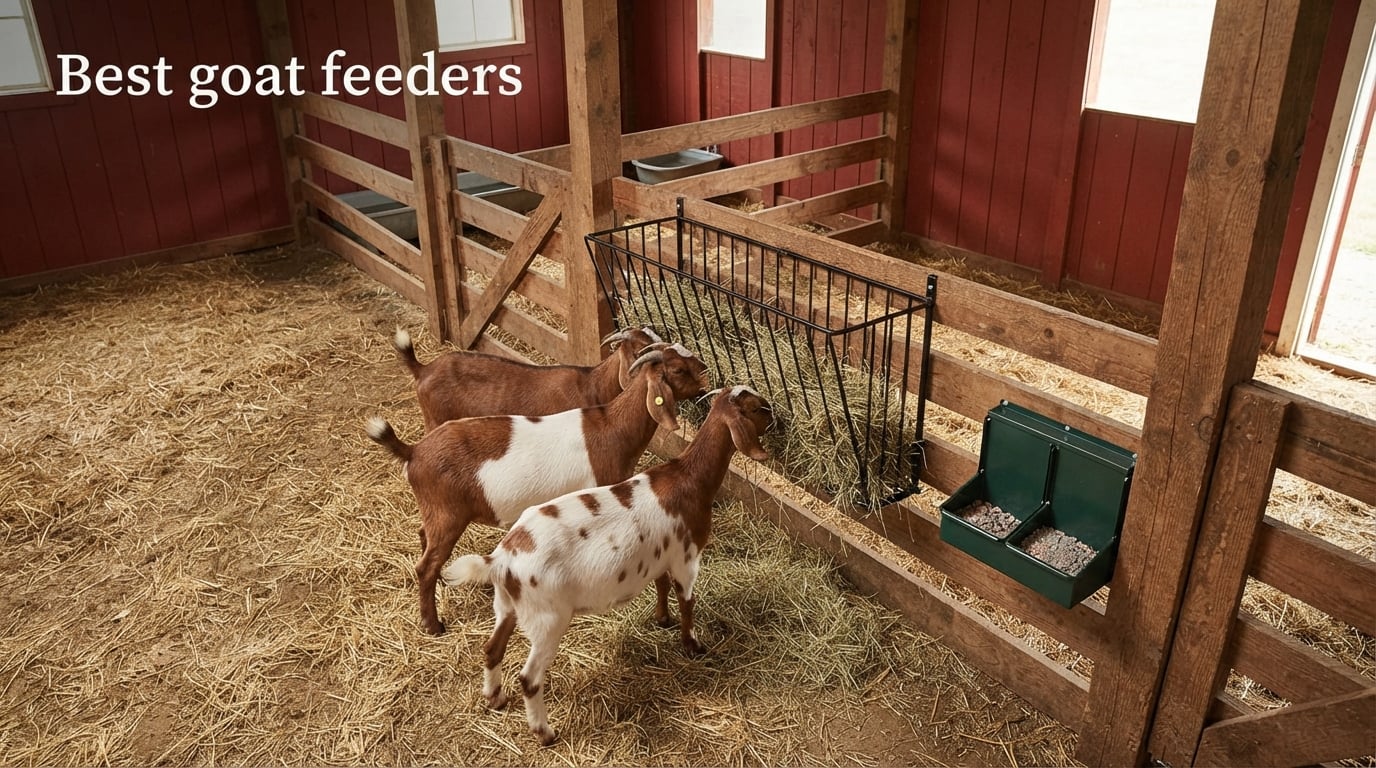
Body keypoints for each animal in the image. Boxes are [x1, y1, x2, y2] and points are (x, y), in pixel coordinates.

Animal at [367, 344, 710, 636]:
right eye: (678, 369)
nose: (707, 374)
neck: (612, 427)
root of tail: (413, 452)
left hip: (435, 512)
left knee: (424, 539)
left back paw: (441, 583)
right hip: (447, 514)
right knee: (424, 565)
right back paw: (433, 625)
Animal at [441, 386, 773, 745]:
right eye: (756, 408)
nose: (776, 419)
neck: (690, 478)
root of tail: (502, 559)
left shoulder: (661, 556)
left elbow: (661, 585)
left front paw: (662, 619)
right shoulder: (687, 557)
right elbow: (688, 601)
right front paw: (693, 645)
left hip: (507, 606)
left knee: (491, 649)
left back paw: (496, 698)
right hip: (547, 620)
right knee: (529, 678)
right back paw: (545, 732)